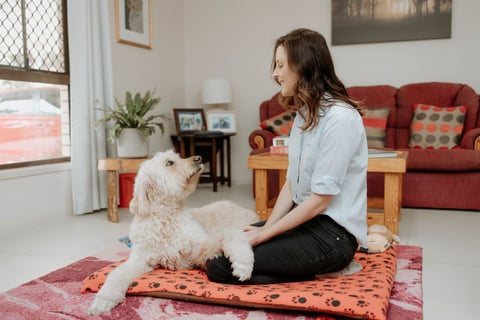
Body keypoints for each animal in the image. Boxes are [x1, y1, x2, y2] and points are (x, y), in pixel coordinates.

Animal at [87, 150, 256, 316]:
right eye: (169, 163)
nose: (199, 158)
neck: (166, 218)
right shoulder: (140, 260)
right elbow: (116, 275)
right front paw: (103, 301)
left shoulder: (199, 248)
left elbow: (230, 235)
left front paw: (243, 263)